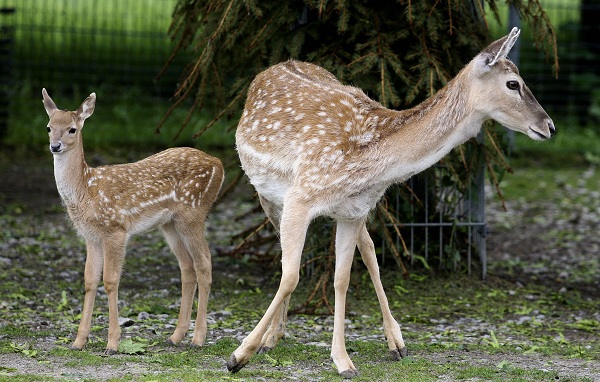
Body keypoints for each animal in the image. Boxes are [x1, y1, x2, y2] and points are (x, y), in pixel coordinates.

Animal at [42, 89, 224, 356]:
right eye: (49, 127)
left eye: (72, 129)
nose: (55, 146)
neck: (86, 189)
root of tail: (219, 164)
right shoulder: (90, 237)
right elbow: (89, 281)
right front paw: (78, 341)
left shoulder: (116, 230)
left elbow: (110, 281)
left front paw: (113, 343)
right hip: (170, 224)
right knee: (187, 267)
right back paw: (175, 336)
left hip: (193, 213)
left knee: (204, 264)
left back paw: (198, 338)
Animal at [229, 28, 552, 378]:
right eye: (513, 84)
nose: (549, 126)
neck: (370, 161)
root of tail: (273, 67)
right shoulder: (299, 197)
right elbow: (290, 276)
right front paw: (240, 355)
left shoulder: (353, 211)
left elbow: (341, 279)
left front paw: (342, 361)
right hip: (266, 194)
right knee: (292, 258)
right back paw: (273, 337)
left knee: (369, 247)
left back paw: (394, 341)